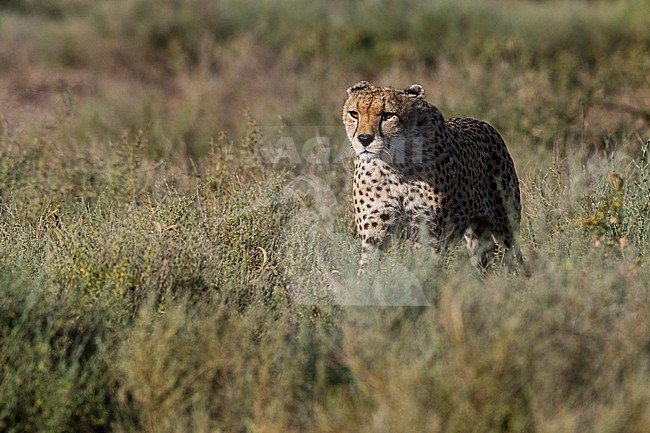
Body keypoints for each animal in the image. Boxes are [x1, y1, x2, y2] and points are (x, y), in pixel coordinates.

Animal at [342, 81, 524, 274]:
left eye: (388, 115)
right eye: (354, 114)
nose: (364, 139)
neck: (395, 165)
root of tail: (483, 123)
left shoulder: (427, 232)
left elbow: (424, 268)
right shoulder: (375, 229)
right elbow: (368, 267)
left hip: (506, 224)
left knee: (514, 256)